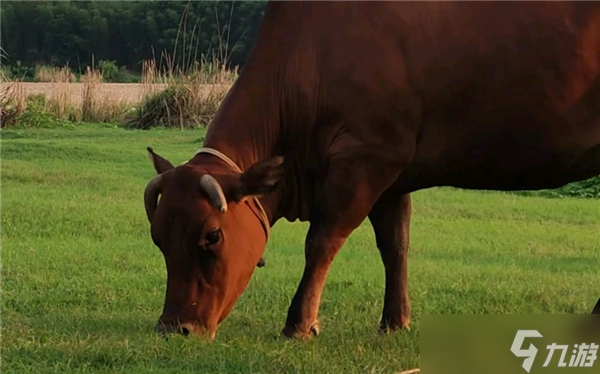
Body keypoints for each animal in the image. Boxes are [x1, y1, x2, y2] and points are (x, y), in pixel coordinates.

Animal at [144, 0, 600, 338]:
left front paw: (299, 324)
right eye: (158, 238)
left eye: (213, 236)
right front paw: (395, 321)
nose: (174, 328)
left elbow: (322, 241)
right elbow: (395, 245)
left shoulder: (369, 155)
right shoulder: (393, 175)